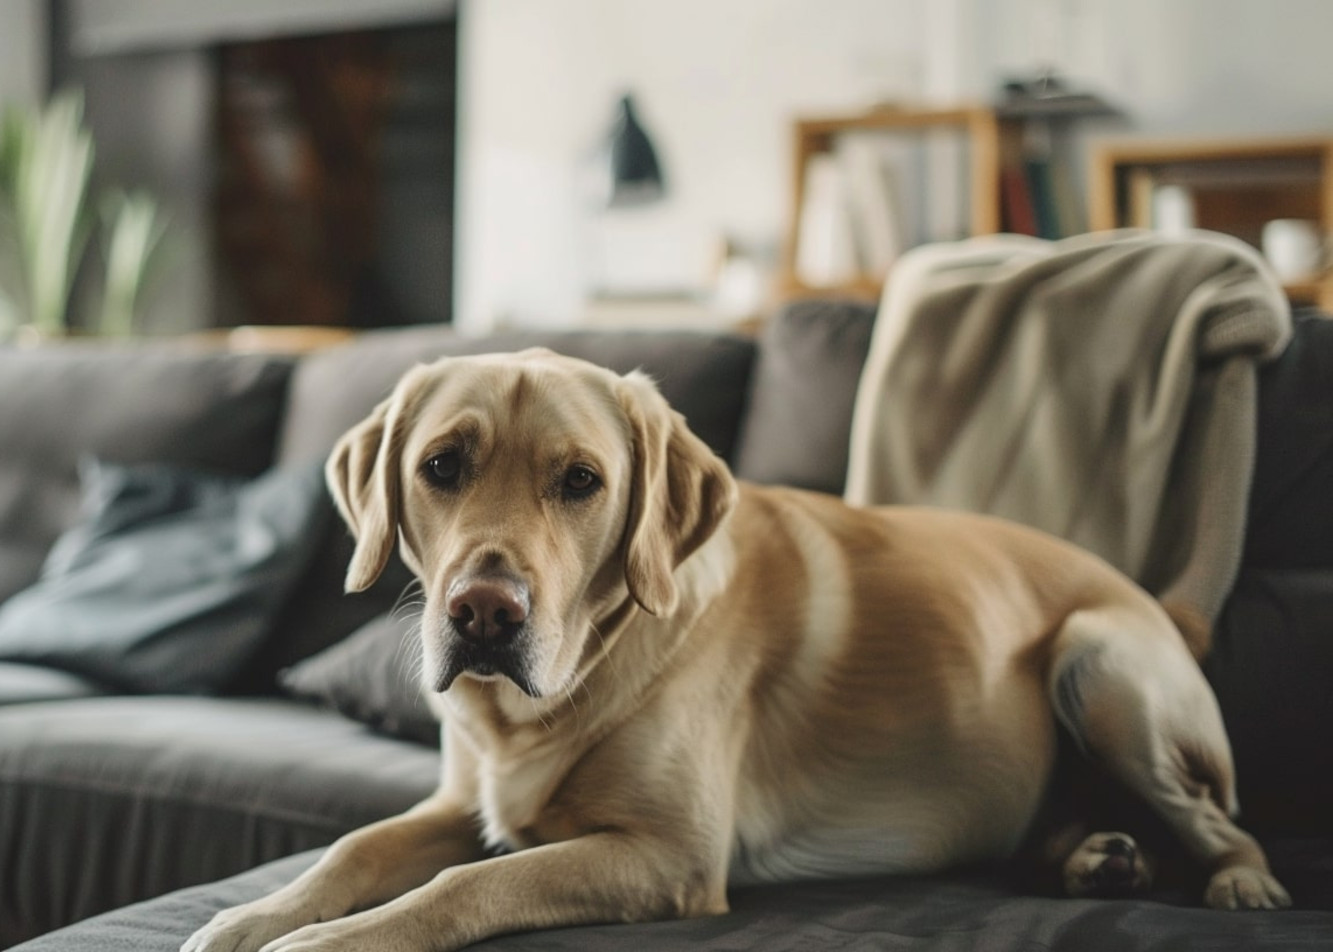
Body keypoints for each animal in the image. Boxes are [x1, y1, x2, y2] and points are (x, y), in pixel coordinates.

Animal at [182, 349, 1285, 949]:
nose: (485, 614)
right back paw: (1099, 857)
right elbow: (354, 847)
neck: (545, 703)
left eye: (580, 481)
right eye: (441, 466)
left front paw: (324, 940)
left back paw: (1236, 883)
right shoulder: (465, 804)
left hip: (1099, 662)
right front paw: (252, 917)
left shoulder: (668, 855)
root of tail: (1157, 604)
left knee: (1218, 819)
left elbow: (467, 886)